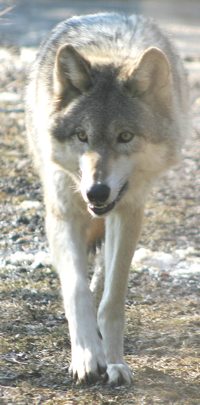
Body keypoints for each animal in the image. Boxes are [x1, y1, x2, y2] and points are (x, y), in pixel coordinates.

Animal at [25, 12, 190, 386]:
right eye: (81, 135)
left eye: (125, 136)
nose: (96, 191)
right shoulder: (63, 212)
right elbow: (77, 291)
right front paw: (87, 356)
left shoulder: (128, 210)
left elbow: (112, 300)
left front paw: (114, 362)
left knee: (102, 273)